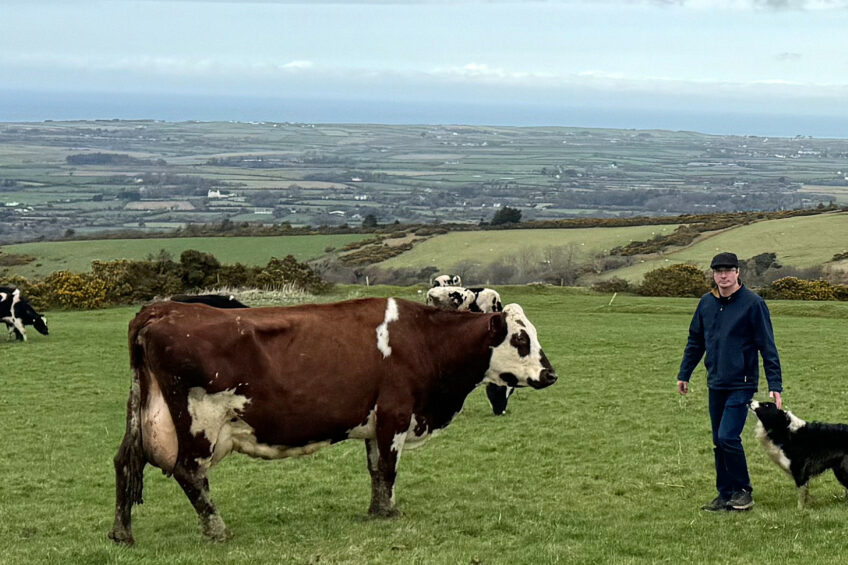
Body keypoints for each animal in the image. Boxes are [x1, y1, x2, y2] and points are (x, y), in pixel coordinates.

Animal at [107, 298, 556, 544]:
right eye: (521, 338)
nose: (550, 374)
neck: (424, 340)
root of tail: (162, 309)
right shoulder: (395, 416)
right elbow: (388, 470)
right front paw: (389, 513)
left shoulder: (375, 424)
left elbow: (375, 470)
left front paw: (377, 511)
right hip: (199, 421)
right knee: (189, 472)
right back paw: (217, 530)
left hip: (141, 416)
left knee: (125, 462)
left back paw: (122, 533)